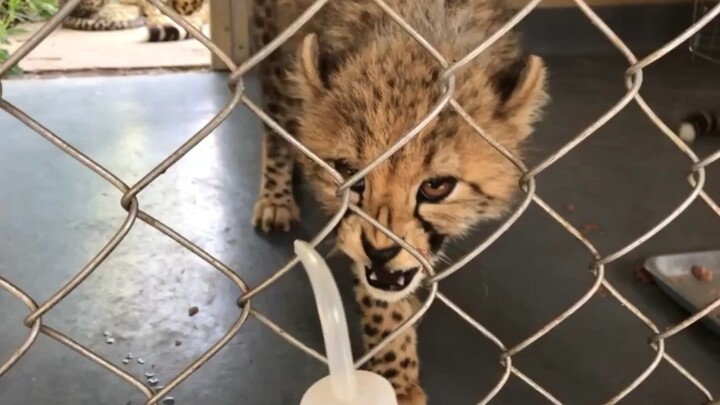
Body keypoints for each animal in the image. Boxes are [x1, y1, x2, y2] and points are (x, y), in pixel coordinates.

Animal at [249, 0, 549, 403]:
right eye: (349, 172)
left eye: (436, 186)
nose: (380, 252)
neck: (421, 27)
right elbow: (378, 301)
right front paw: (397, 378)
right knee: (275, 126)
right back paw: (276, 197)